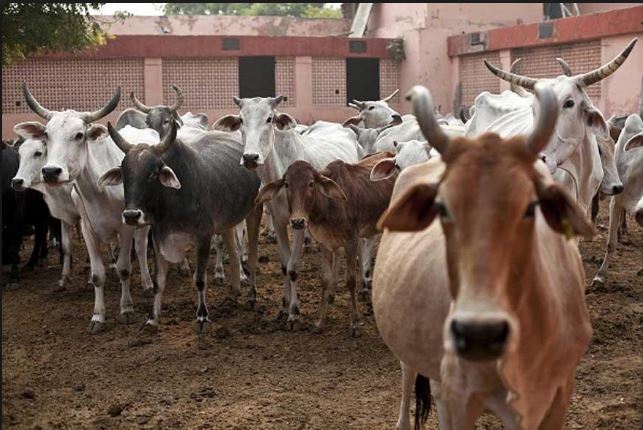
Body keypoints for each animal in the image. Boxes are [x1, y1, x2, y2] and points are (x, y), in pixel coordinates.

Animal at [15, 84, 157, 333]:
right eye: (46, 135)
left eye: (79, 135)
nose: (51, 171)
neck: (98, 188)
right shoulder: (86, 228)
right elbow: (97, 272)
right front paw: (98, 316)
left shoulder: (125, 226)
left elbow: (124, 268)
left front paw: (126, 309)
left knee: (140, 248)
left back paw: (148, 283)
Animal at [99, 121, 262, 332]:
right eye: (125, 174)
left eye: (153, 174)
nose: (131, 215)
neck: (173, 200)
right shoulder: (158, 238)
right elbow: (159, 282)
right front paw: (152, 318)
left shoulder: (203, 238)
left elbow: (199, 279)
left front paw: (202, 317)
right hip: (227, 223)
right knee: (234, 255)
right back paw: (233, 294)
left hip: (255, 212)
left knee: (252, 257)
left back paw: (251, 295)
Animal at [212, 95, 361, 326]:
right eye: (241, 119)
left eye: (269, 118)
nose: (250, 157)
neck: (280, 172)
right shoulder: (279, 220)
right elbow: (284, 264)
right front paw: (284, 306)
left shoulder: (299, 224)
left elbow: (293, 267)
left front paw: (294, 311)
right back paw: (332, 292)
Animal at [255, 152, 396, 336]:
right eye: (287, 184)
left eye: (311, 183)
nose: (298, 221)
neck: (327, 206)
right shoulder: (325, 244)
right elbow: (326, 279)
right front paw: (320, 322)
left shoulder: (351, 240)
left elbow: (350, 280)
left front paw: (354, 323)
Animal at [373, 84, 593, 429]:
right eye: (442, 206)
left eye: (531, 206)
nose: (479, 331)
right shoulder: (462, 396)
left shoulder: (558, 394)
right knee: (410, 375)